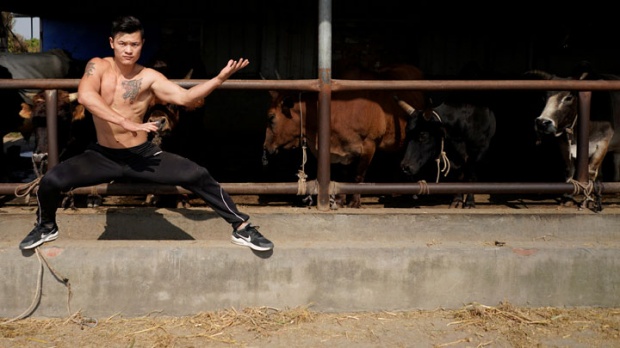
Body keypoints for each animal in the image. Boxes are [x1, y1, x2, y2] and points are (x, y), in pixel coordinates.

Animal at [262, 63, 426, 208]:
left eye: (271, 117)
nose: (266, 147)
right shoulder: (342, 151)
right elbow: (343, 176)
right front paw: (340, 201)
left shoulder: (369, 144)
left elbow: (358, 175)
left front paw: (355, 202)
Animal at [528, 64, 620, 212]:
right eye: (544, 97)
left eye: (568, 97)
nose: (542, 122)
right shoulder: (563, 144)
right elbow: (570, 171)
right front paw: (568, 198)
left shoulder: (603, 142)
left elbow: (590, 171)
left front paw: (588, 200)